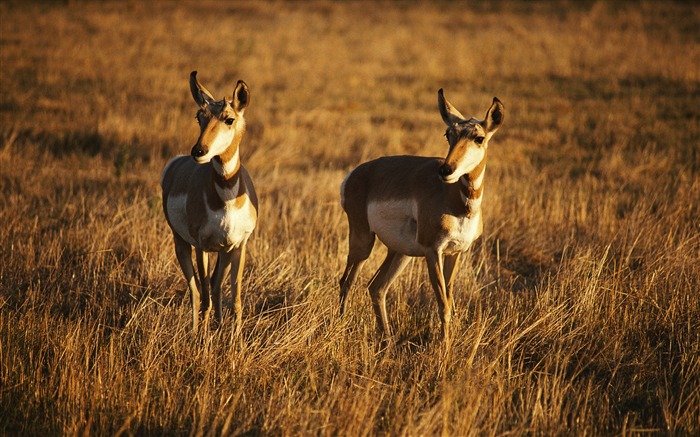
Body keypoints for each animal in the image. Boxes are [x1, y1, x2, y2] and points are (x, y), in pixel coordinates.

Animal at [161, 70, 258, 330]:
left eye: (229, 119)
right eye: (199, 116)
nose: (199, 151)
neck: (226, 201)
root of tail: (176, 163)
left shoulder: (239, 246)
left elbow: (235, 300)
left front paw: (236, 339)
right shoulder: (201, 246)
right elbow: (204, 298)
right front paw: (202, 340)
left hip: (223, 252)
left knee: (215, 287)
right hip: (181, 244)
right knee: (196, 292)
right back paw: (196, 331)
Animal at [340, 89, 504, 344]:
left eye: (479, 137)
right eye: (448, 134)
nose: (445, 170)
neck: (457, 202)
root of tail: (355, 174)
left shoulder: (454, 253)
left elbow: (450, 302)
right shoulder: (432, 251)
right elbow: (443, 306)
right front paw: (444, 350)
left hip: (400, 253)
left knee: (376, 287)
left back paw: (388, 341)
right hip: (363, 243)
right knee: (346, 282)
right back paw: (339, 330)